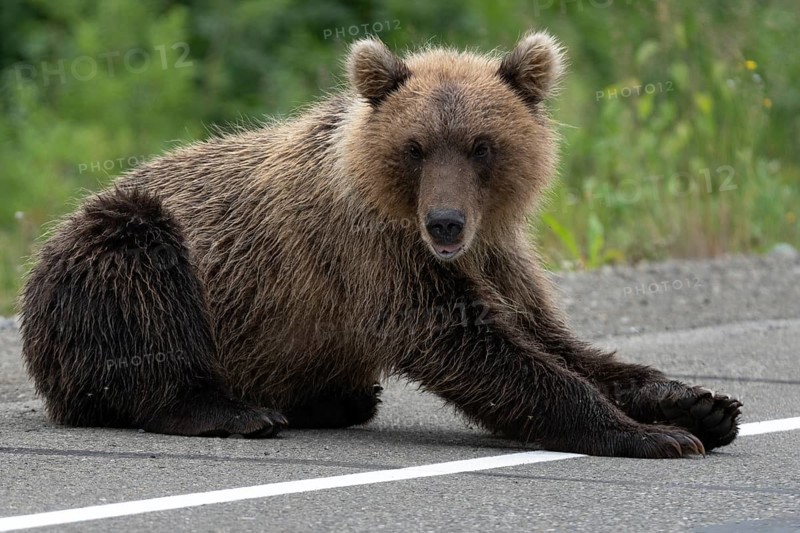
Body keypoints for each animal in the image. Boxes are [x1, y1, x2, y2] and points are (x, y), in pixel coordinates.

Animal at [20, 31, 741, 457]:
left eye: (482, 145)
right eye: (415, 147)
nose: (445, 222)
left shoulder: (499, 255)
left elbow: (553, 337)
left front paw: (701, 405)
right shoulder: (372, 254)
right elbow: (475, 345)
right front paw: (652, 435)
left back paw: (332, 399)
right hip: (118, 252)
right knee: (138, 280)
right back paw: (232, 410)